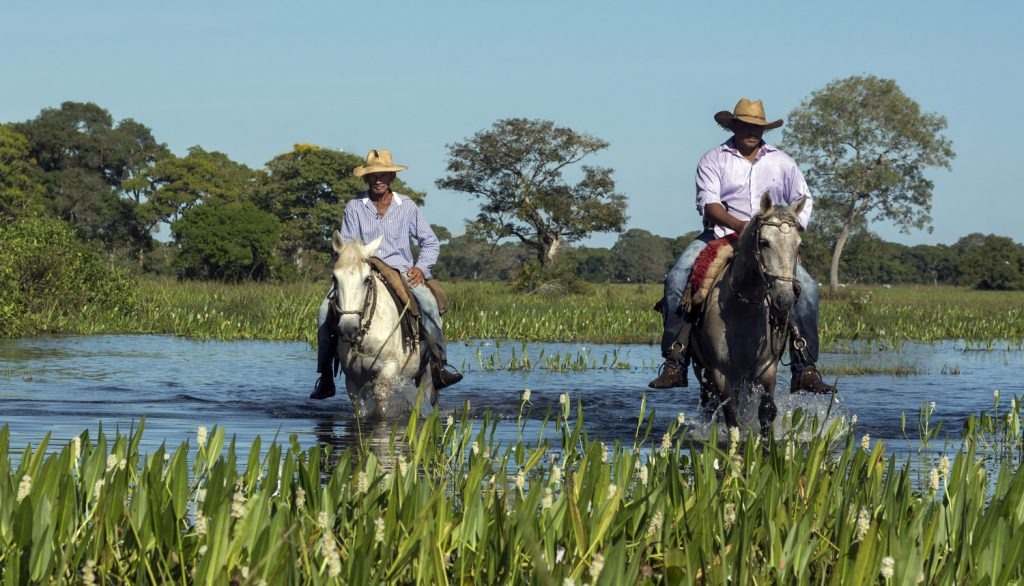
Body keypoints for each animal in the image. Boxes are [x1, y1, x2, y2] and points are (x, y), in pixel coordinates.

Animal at [325, 231, 434, 417]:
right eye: (335, 278)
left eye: (366, 280)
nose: (348, 328)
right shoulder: (352, 379)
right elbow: (358, 405)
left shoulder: (389, 367)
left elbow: (381, 396)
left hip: (425, 375)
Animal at [688, 193, 806, 434]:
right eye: (765, 242)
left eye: (798, 245)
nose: (785, 299)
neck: (743, 309)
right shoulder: (720, 373)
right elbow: (731, 416)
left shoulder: (766, 369)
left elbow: (767, 411)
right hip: (701, 370)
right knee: (709, 404)